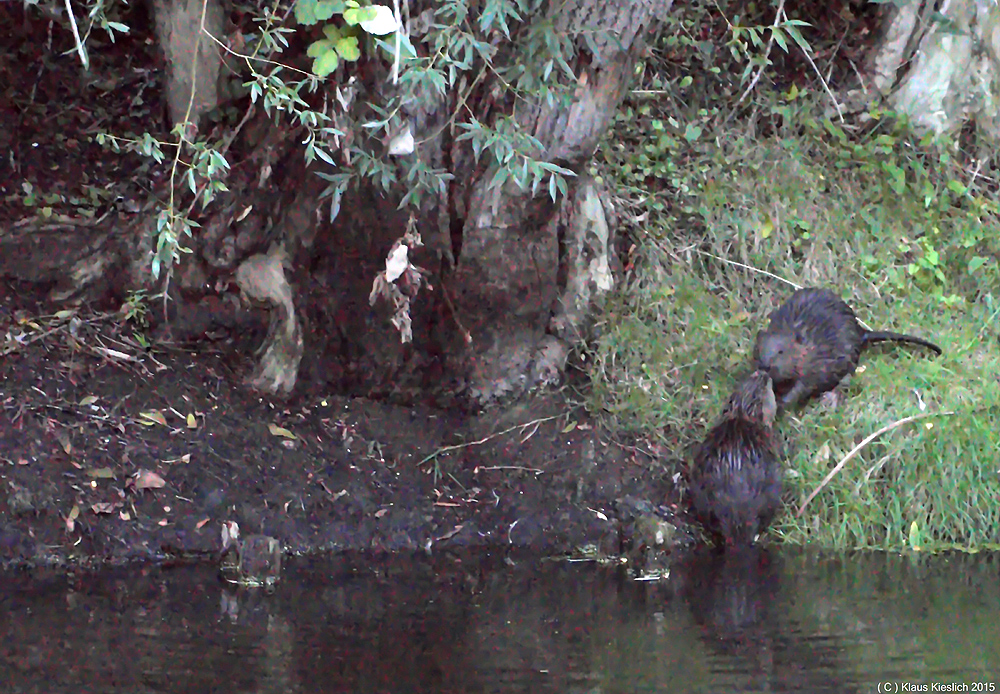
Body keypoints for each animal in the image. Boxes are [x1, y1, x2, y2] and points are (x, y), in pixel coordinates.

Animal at [752, 286, 940, 410]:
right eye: (758, 351)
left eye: (781, 351)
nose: (765, 366)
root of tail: (861, 332)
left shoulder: (817, 360)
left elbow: (803, 386)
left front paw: (781, 402)